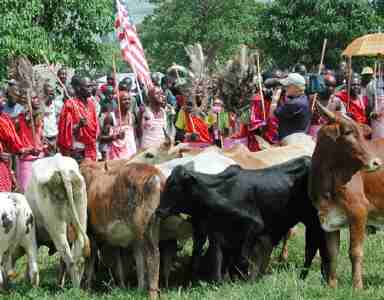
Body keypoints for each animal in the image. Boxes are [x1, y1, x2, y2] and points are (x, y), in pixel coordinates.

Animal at [25, 154, 90, 288]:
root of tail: (61, 167)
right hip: (81, 215)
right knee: (78, 256)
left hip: (56, 226)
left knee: (69, 258)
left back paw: (75, 290)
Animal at [80, 162, 164, 298]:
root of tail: (155, 176)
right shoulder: (115, 239)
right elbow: (121, 265)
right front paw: (122, 287)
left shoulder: (91, 234)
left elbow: (90, 265)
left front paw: (87, 290)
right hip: (148, 228)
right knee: (143, 258)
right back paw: (139, 290)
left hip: (145, 228)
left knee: (153, 257)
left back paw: (152, 294)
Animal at [159, 156, 330, 282]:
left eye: (173, 186)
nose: (159, 210)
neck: (219, 192)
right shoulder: (217, 233)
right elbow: (217, 259)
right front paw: (221, 281)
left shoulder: (255, 225)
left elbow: (242, 259)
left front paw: (244, 278)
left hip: (314, 222)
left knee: (312, 249)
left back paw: (307, 277)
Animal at [310, 102, 382, 288]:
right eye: (348, 132)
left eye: (363, 133)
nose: (376, 162)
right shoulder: (327, 218)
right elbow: (332, 253)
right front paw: (332, 285)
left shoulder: (358, 211)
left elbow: (355, 252)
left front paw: (357, 286)